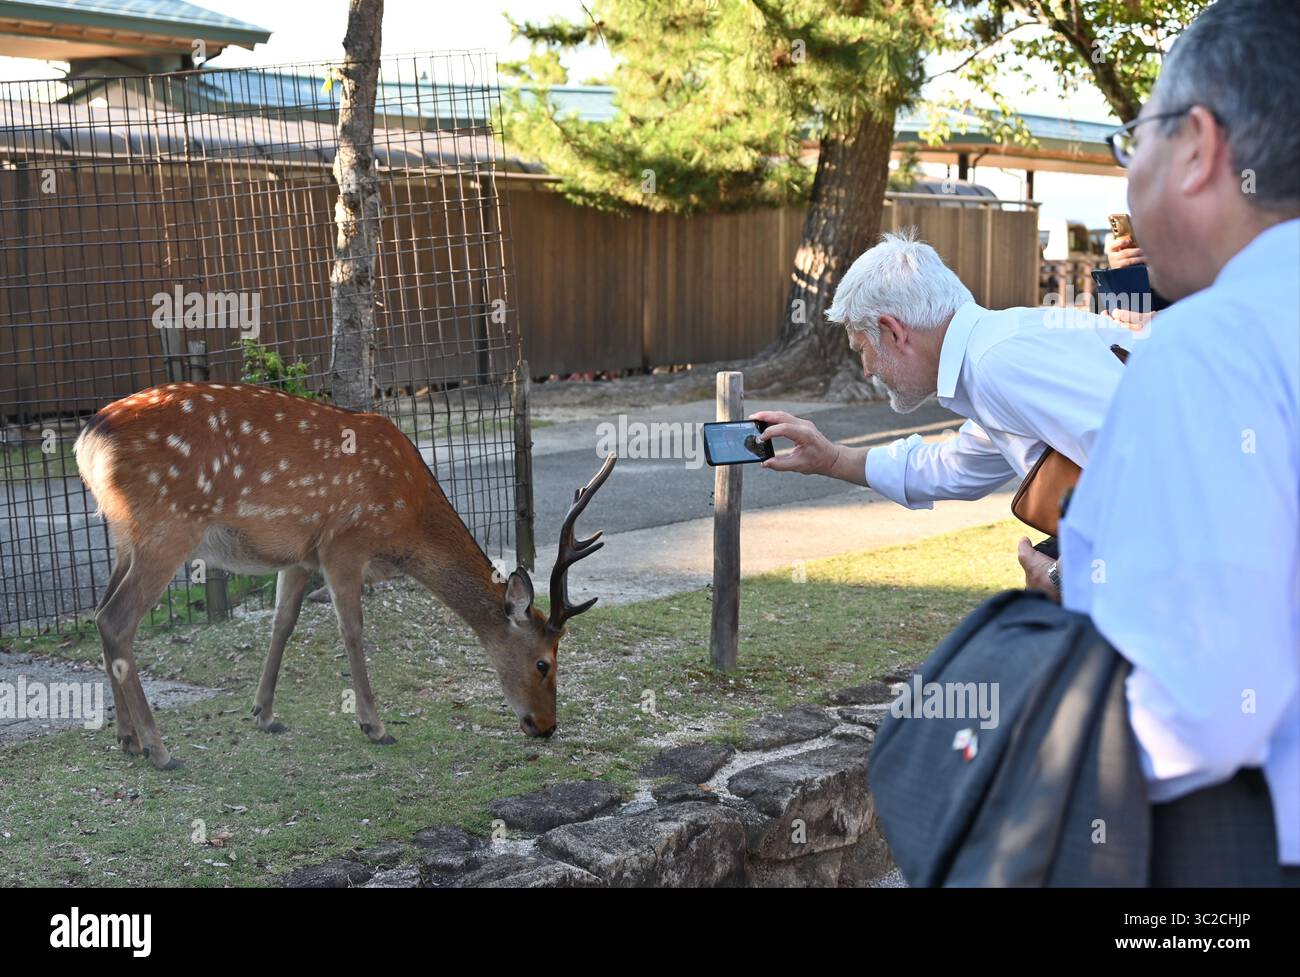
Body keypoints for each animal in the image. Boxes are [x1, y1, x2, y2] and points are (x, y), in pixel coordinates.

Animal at [74, 381, 616, 769]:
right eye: (544, 663)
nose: (546, 726)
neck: (406, 520)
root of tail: (89, 438)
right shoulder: (344, 543)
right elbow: (352, 631)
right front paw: (375, 725)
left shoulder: (299, 554)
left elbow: (283, 623)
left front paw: (265, 714)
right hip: (168, 527)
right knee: (117, 619)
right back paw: (159, 749)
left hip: (124, 534)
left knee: (100, 613)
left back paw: (126, 738)